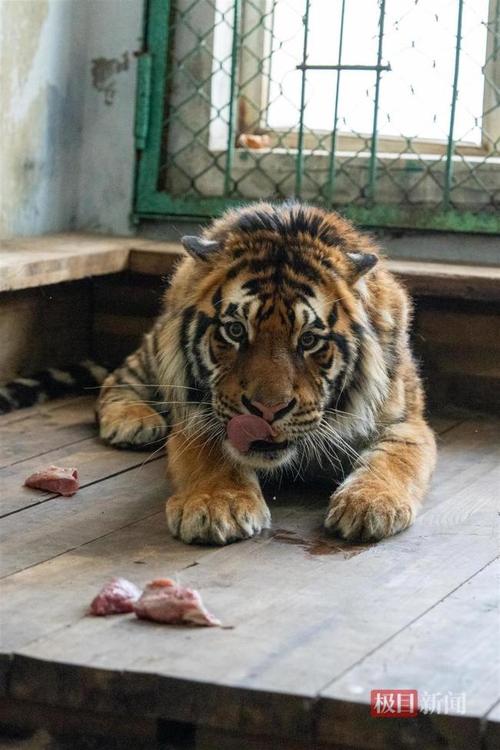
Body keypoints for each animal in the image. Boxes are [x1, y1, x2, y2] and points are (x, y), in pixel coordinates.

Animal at [97, 202, 437, 546]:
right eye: (235, 331)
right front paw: (217, 505)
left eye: (308, 340)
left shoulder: (405, 421)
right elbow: (212, 452)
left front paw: (370, 504)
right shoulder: (195, 416)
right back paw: (134, 421)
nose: (268, 411)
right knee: (117, 379)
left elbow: (393, 458)